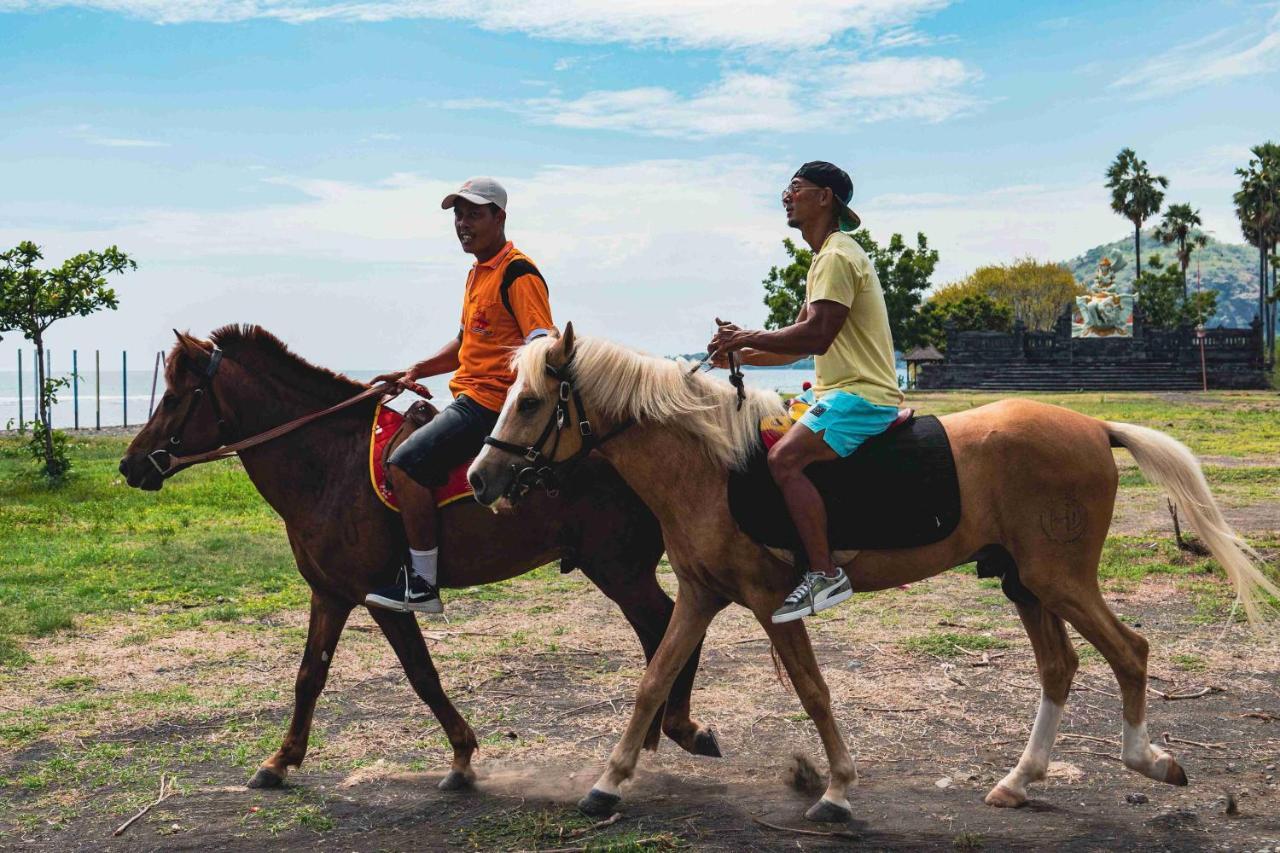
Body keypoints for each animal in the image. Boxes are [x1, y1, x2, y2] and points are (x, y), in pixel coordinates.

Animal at [117, 324, 721, 788]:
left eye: (174, 398)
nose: (131, 464)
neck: (328, 461)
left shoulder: (380, 598)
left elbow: (421, 674)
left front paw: (461, 756)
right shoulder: (330, 593)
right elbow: (309, 675)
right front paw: (281, 760)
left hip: (619, 569)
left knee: (666, 627)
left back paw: (678, 728)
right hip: (619, 570)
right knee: (661, 631)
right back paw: (659, 733)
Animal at [471, 324, 1280, 819]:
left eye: (532, 402)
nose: (480, 479)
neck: (711, 464)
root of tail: (1092, 425)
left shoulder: (768, 601)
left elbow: (813, 690)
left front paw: (836, 788)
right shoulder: (702, 596)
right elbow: (651, 682)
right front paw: (608, 783)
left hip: (1061, 578)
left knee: (1129, 652)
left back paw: (1149, 760)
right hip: (1025, 581)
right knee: (1060, 667)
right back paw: (1020, 780)